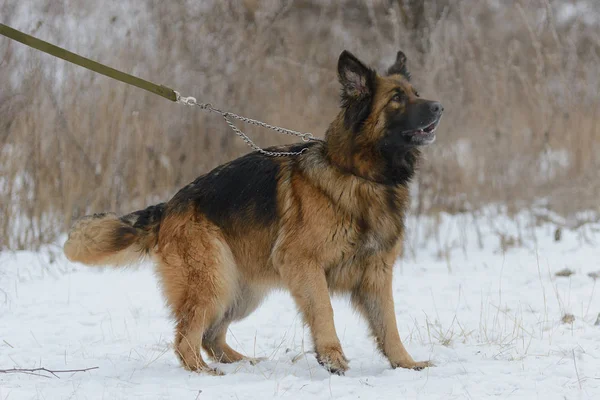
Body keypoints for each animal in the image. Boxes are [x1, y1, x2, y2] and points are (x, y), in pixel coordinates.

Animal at [64, 50, 440, 376]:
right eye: (396, 98)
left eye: (416, 93)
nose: (439, 106)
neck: (358, 173)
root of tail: (170, 204)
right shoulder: (303, 263)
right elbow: (324, 310)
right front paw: (332, 359)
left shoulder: (376, 273)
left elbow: (389, 324)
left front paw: (406, 364)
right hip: (214, 282)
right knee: (186, 337)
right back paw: (205, 373)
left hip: (240, 291)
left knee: (210, 336)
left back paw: (242, 362)